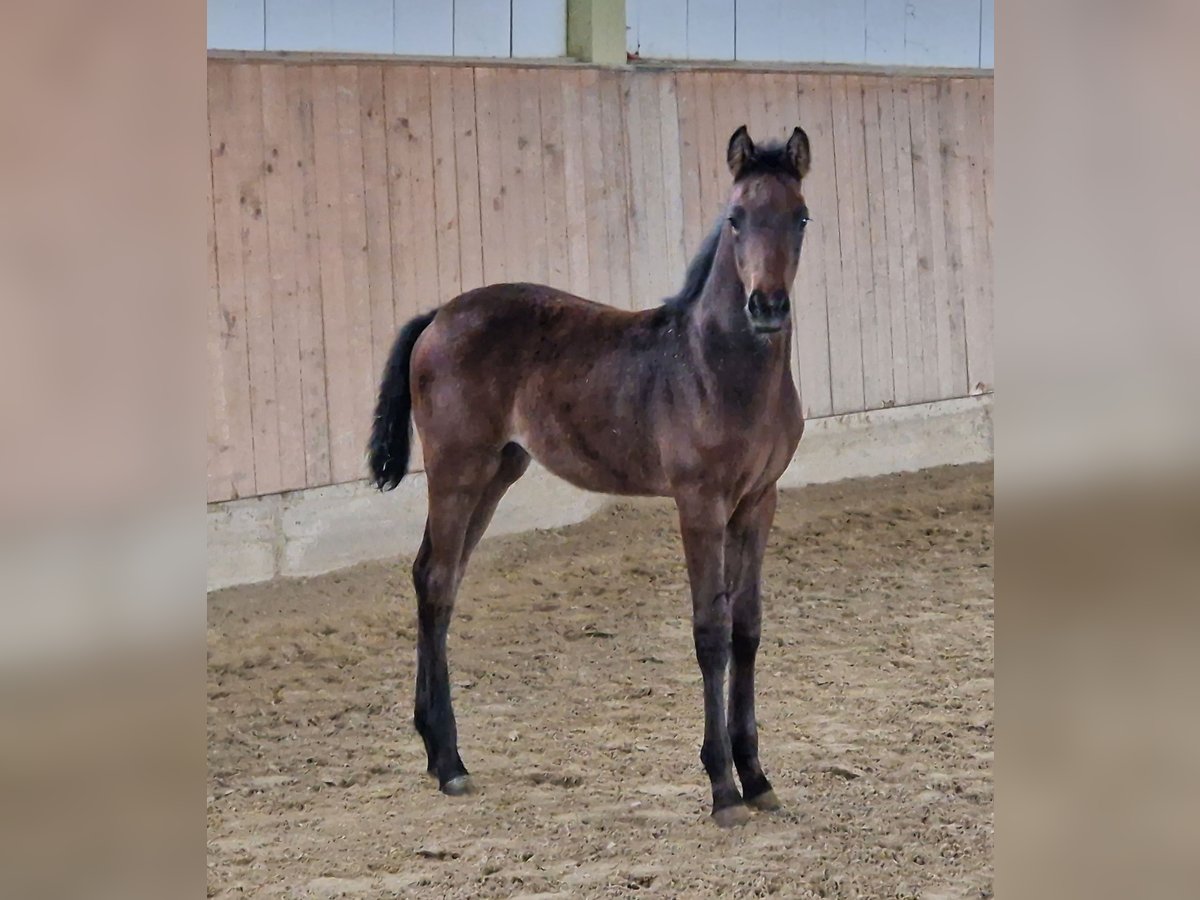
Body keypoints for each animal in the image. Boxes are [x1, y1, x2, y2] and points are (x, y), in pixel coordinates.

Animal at [367, 127, 816, 830]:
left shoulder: (758, 502)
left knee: (436, 576)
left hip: (499, 471)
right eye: (736, 218)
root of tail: (438, 315)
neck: (716, 366)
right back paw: (451, 762)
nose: (767, 307)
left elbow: (747, 628)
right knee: (437, 582)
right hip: (458, 468)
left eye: (800, 217)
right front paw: (722, 787)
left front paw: (757, 777)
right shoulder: (699, 503)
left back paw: (437, 749)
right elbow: (710, 632)